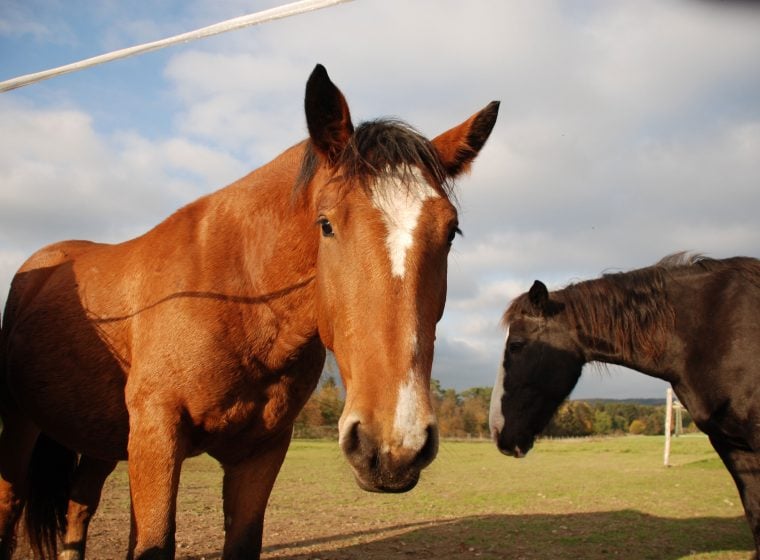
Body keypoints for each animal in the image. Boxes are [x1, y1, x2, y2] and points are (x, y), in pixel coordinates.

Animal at [0, 63, 502, 556]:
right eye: (326, 224)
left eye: (452, 232)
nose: (394, 445)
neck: (238, 300)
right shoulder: (154, 439)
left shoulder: (261, 453)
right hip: (22, 425)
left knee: (77, 511)